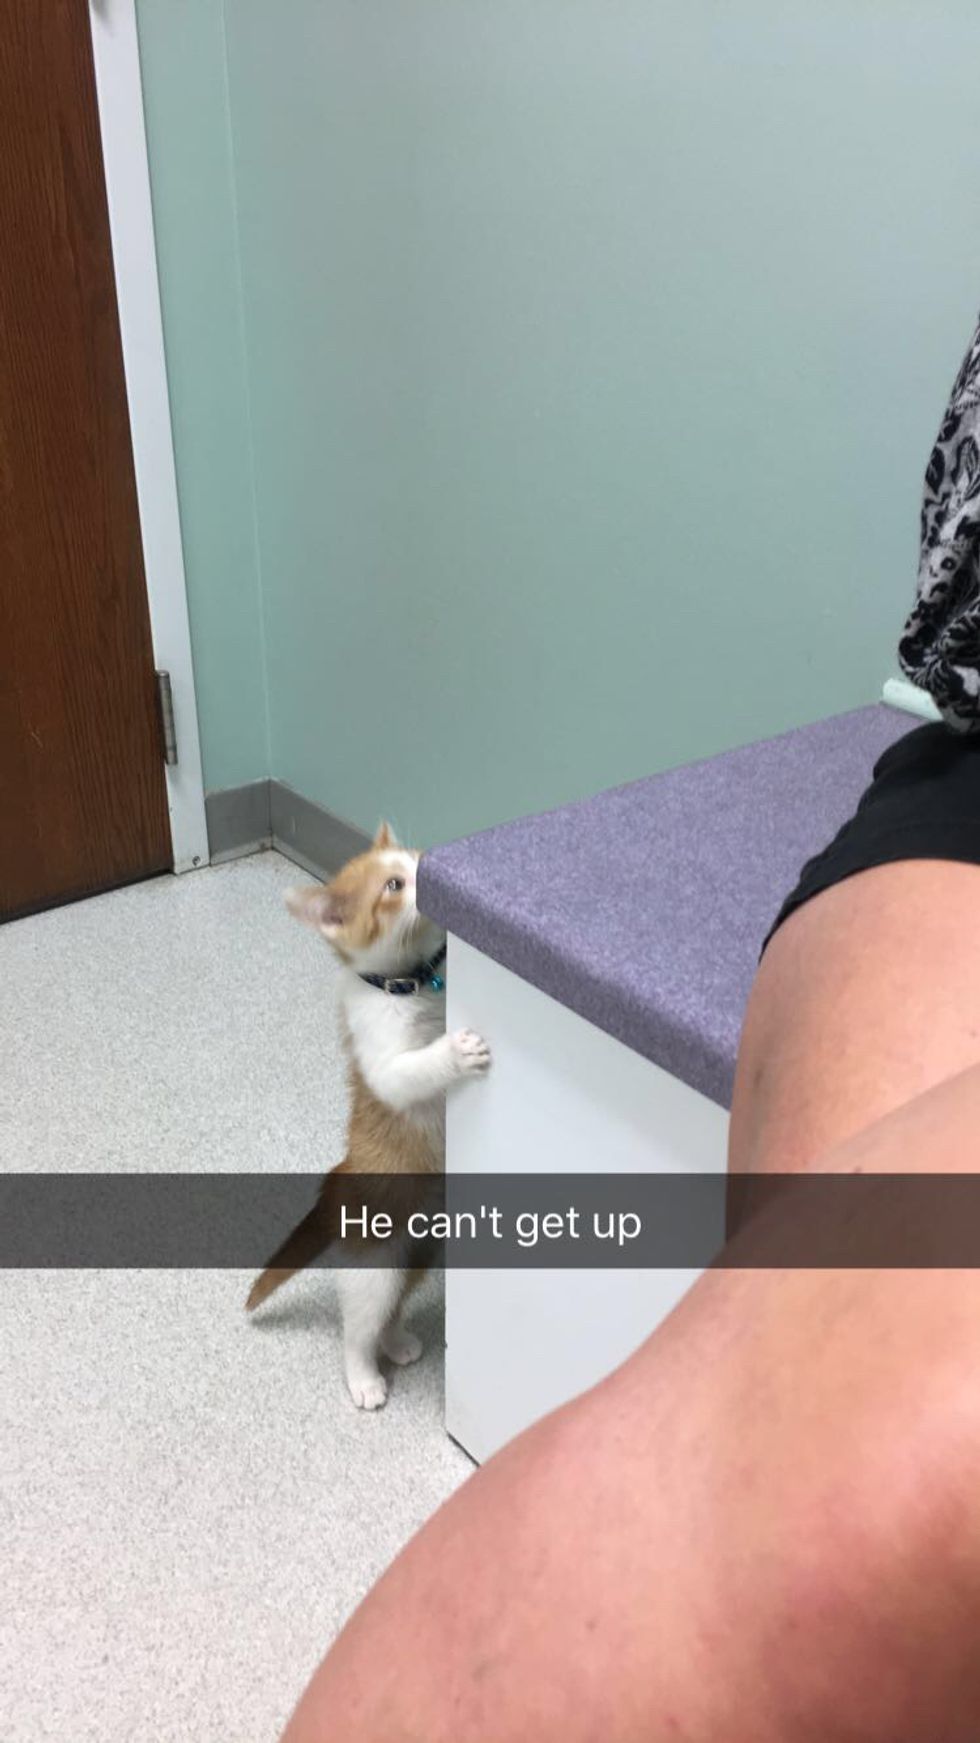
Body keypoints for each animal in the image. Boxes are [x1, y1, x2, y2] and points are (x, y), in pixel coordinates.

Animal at [246, 822, 491, 1409]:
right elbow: (412, 1069)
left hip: (419, 1251)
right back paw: (363, 1378)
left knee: (393, 1307)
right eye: (394, 885)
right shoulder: (384, 1063)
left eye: (417, 858)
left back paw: (398, 1341)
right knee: (358, 1324)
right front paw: (455, 1052)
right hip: (373, 1262)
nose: (432, 868)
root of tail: (341, 1177)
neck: (413, 984)